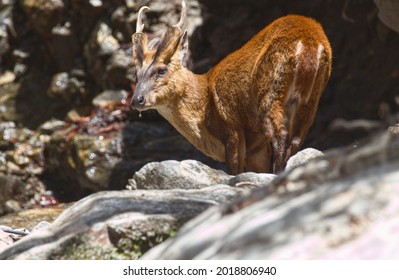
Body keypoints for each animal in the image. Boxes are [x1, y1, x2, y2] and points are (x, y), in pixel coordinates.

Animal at [130, 1, 332, 174]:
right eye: (137, 75)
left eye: (161, 70)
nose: (136, 100)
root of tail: (309, 43)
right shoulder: (256, 147)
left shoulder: (232, 126)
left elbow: (234, 170)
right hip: (312, 97)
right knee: (297, 138)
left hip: (269, 92)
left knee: (281, 135)